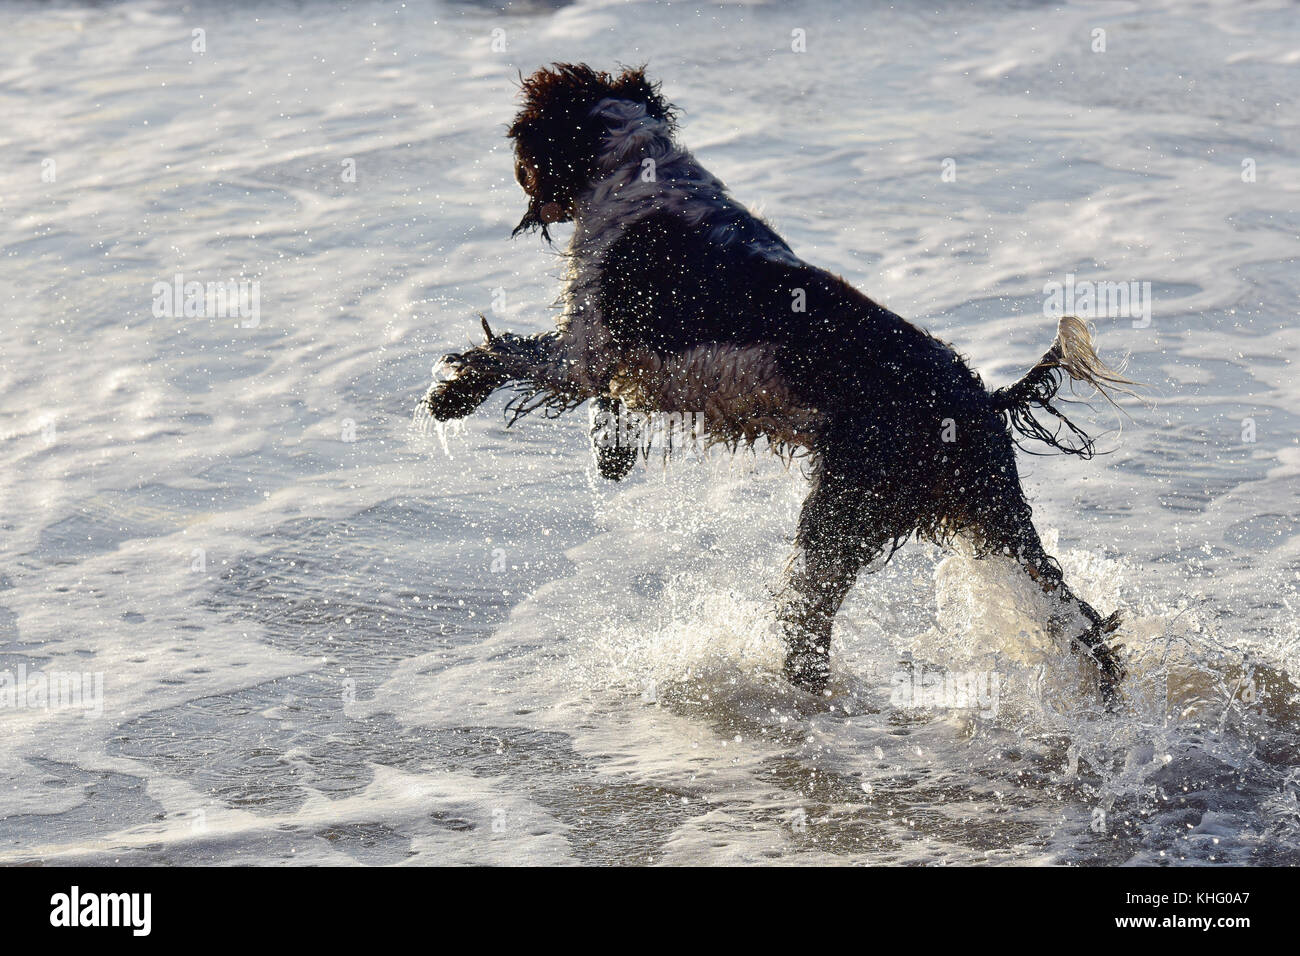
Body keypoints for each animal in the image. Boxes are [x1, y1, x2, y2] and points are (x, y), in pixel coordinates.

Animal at [421, 63, 1133, 697]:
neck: (632, 174)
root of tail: (983, 398)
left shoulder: (585, 350)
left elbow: (506, 353)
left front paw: (449, 392)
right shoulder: (615, 364)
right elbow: (602, 398)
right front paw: (611, 452)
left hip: (843, 511)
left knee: (807, 621)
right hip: (990, 513)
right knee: (1078, 620)